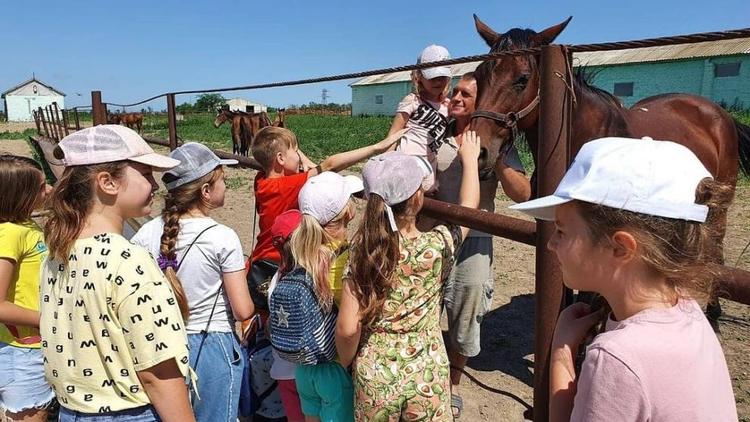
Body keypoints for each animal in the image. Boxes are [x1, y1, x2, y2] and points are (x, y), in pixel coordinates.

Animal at [472, 14, 750, 324]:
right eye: (480, 75)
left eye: (522, 79)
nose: (479, 152)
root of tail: (719, 114)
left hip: (719, 204)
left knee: (715, 248)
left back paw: (712, 310)